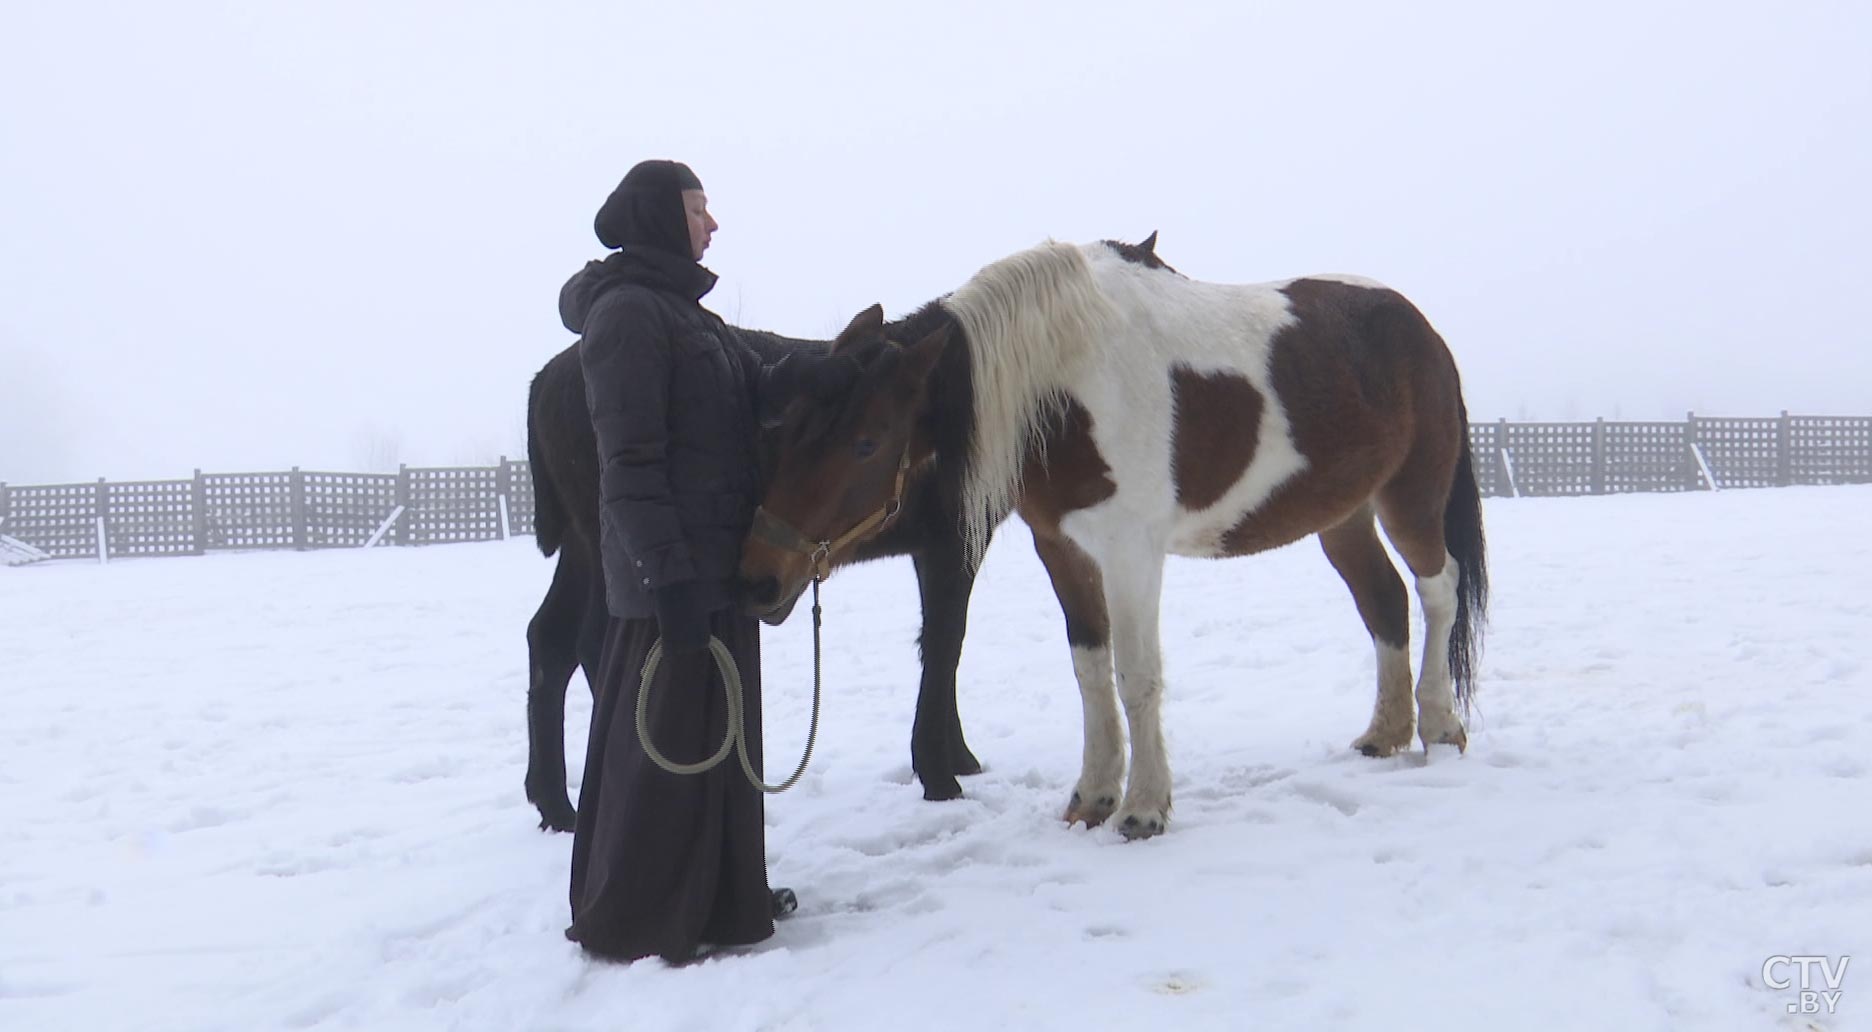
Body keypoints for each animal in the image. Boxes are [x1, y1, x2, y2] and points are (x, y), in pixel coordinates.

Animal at [524, 320, 995, 831]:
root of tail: (545, 379)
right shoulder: (953, 545)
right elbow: (945, 643)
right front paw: (941, 773)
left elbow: (939, 644)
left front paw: (956, 756)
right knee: (592, 645)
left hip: (580, 551)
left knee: (549, 641)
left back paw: (555, 804)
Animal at [737, 237, 1482, 842]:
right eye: (782, 426)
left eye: (866, 442)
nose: (758, 577)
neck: (1068, 384)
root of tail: (1420, 328)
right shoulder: (1063, 549)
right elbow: (1090, 671)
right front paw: (1092, 797)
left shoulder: (1131, 553)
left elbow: (1136, 674)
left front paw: (1144, 808)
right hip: (1343, 516)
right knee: (1383, 601)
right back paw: (1385, 733)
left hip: (1411, 498)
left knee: (1438, 590)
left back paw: (1439, 725)